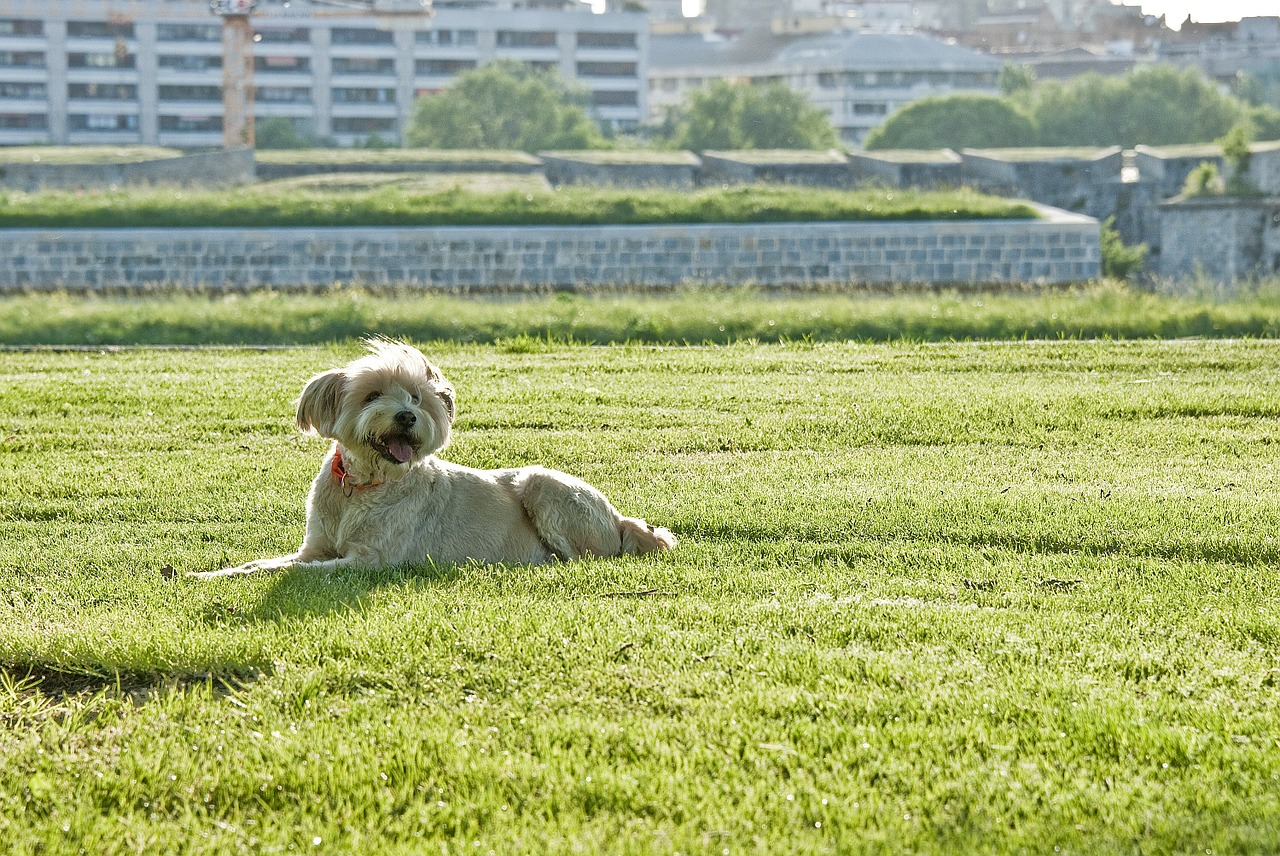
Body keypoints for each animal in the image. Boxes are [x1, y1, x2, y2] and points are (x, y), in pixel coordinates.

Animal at [194, 337, 675, 578]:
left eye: (416, 397)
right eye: (372, 395)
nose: (408, 416)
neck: (364, 485)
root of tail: (619, 519)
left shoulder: (370, 561)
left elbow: (295, 573)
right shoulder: (314, 548)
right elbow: (262, 564)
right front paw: (210, 575)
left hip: (544, 486)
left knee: (586, 557)